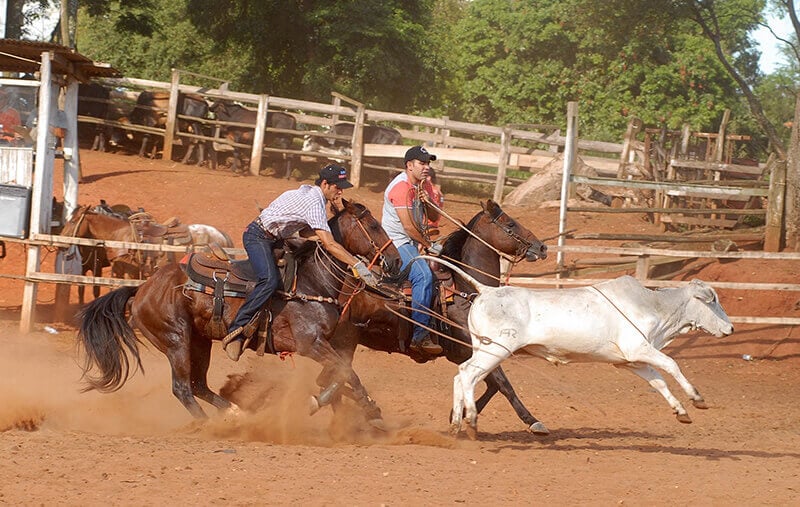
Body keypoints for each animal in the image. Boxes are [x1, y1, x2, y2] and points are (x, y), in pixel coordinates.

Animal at [77, 198, 404, 424]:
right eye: (374, 225)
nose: (396, 261)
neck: (311, 281)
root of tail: (142, 289)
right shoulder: (311, 344)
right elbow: (345, 374)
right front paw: (359, 409)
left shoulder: (328, 344)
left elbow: (340, 375)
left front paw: (359, 407)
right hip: (175, 339)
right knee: (182, 388)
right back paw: (213, 426)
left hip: (199, 341)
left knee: (198, 385)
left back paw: (238, 413)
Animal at [328, 200, 552, 434]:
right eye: (510, 224)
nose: (541, 247)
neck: (466, 289)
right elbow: (503, 384)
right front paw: (533, 421)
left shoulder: (465, 354)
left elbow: (492, 385)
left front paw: (459, 416)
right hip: (344, 342)